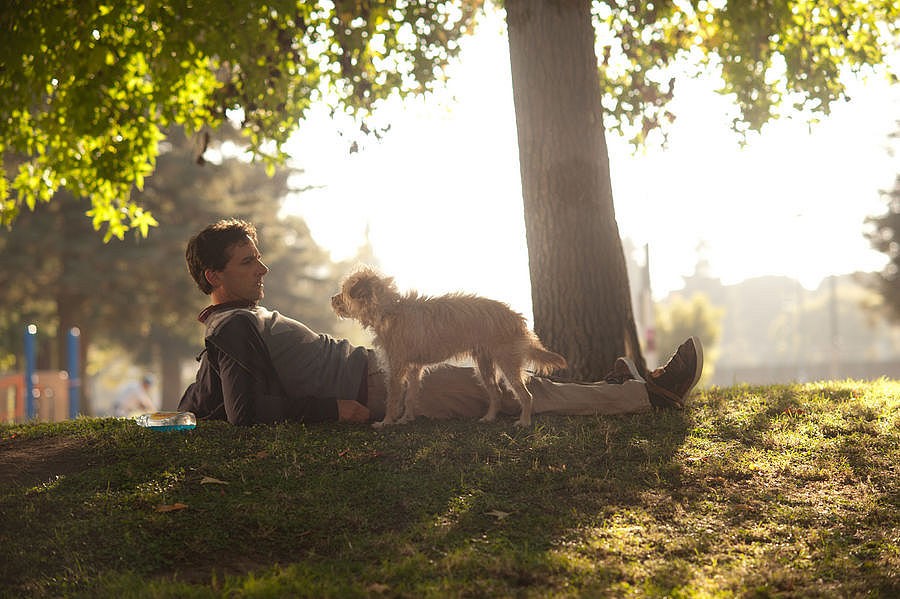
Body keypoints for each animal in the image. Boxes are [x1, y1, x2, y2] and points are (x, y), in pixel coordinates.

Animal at [330, 266, 568, 426]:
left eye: (344, 290)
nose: (332, 298)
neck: (389, 310)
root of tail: (516, 317)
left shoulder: (397, 368)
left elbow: (394, 397)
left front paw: (387, 422)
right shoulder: (414, 368)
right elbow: (410, 396)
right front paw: (406, 419)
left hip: (507, 364)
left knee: (526, 395)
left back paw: (524, 422)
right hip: (484, 366)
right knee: (496, 393)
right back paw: (488, 418)